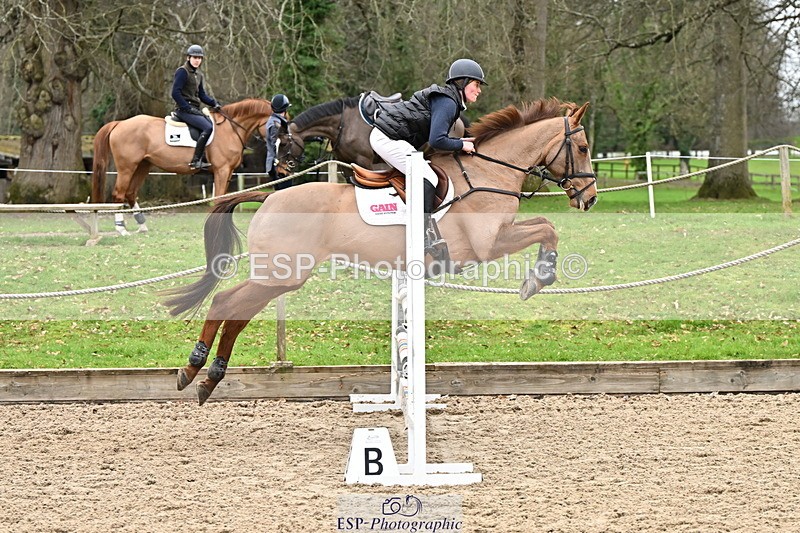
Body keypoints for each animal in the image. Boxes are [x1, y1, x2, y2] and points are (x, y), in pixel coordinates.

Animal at [90, 98, 297, 234]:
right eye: (281, 124)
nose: (287, 164)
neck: (231, 128)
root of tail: (119, 124)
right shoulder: (222, 170)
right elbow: (220, 197)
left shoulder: (227, 172)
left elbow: (225, 197)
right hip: (127, 166)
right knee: (119, 194)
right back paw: (121, 229)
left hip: (143, 165)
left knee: (131, 193)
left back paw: (142, 225)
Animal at [287, 95, 467, 170]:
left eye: (285, 143)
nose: (284, 168)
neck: (344, 124)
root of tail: (458, 119)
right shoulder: (346, 162)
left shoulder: (364, 161)